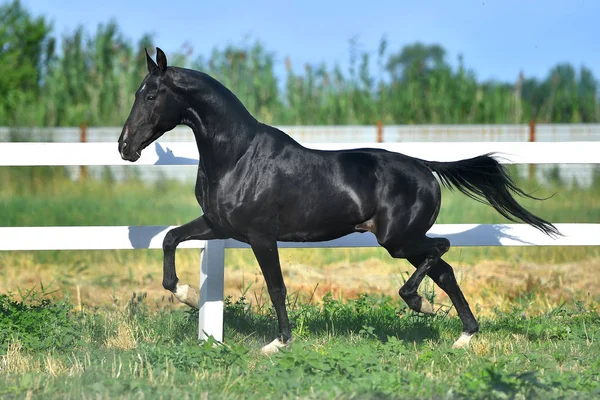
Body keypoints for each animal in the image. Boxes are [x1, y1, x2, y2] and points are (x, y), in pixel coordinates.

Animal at [119, 47, 560, 354]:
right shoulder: (219, 225)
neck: (238, 157)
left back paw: (418, 303)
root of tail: (423, 165)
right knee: (446, 270)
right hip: (403, 242)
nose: (125, 147)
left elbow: (277, 287)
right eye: (137, 93)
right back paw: (462, 335)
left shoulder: (261, 236)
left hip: (399, 240)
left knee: (443, 249)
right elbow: (171, 238)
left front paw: (278, 343)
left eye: (152, 96)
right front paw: (188, 295)